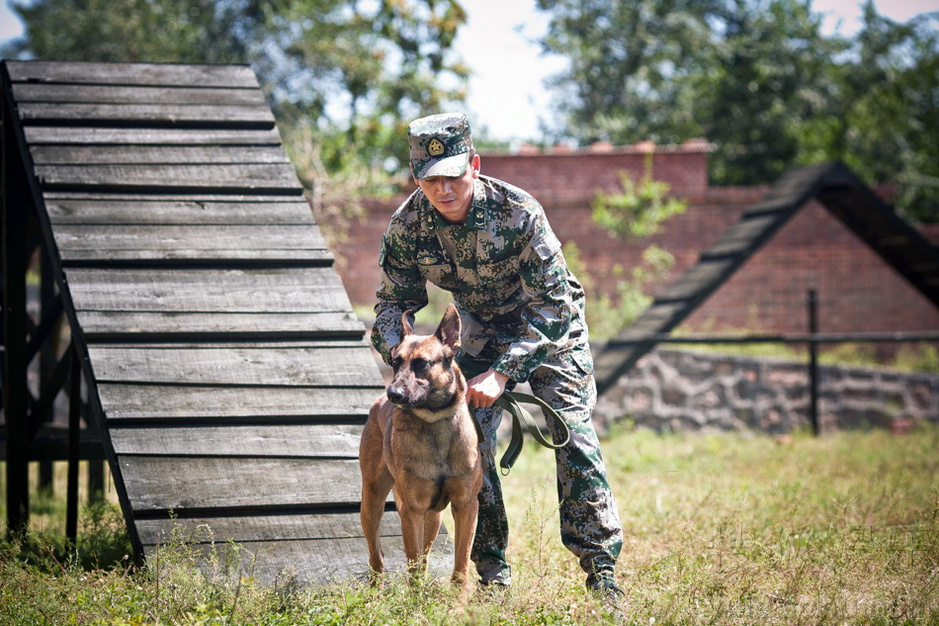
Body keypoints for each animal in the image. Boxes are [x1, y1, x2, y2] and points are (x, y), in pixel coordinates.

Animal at [358, 302, 482, 596]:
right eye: (395, 362)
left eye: (422, 363)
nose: (394, 394)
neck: (434, 422)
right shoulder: (412, 510)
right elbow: (412, 565)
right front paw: (416, 603)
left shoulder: (466, 506)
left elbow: (461, 564)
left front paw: (458, 602)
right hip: (372, 503)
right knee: (377, 555)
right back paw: (375, 593)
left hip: (433, 518)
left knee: (424, 557)